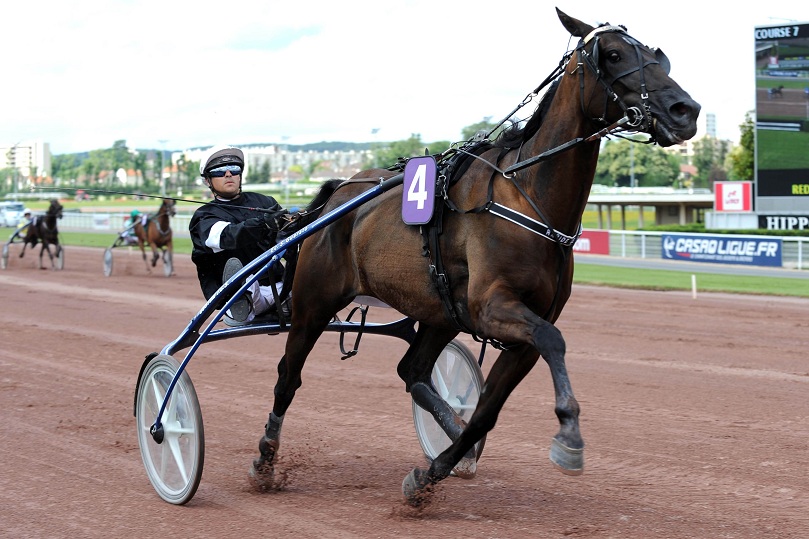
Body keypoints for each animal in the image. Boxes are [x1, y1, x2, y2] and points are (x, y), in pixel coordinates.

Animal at [249, 9, 696, 506]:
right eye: (614, 54)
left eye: (658, 55)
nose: (686, 111)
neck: (526, 198)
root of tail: (337, 193)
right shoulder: (492, 307)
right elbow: (554, 341)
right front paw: (569, 437)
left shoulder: (523, 333)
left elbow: (488, 409)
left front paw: (431, 473)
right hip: (315, 302)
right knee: (289, 374)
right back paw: (266, 459)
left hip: (439, 311)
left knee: (413, 370)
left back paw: (449, 432)